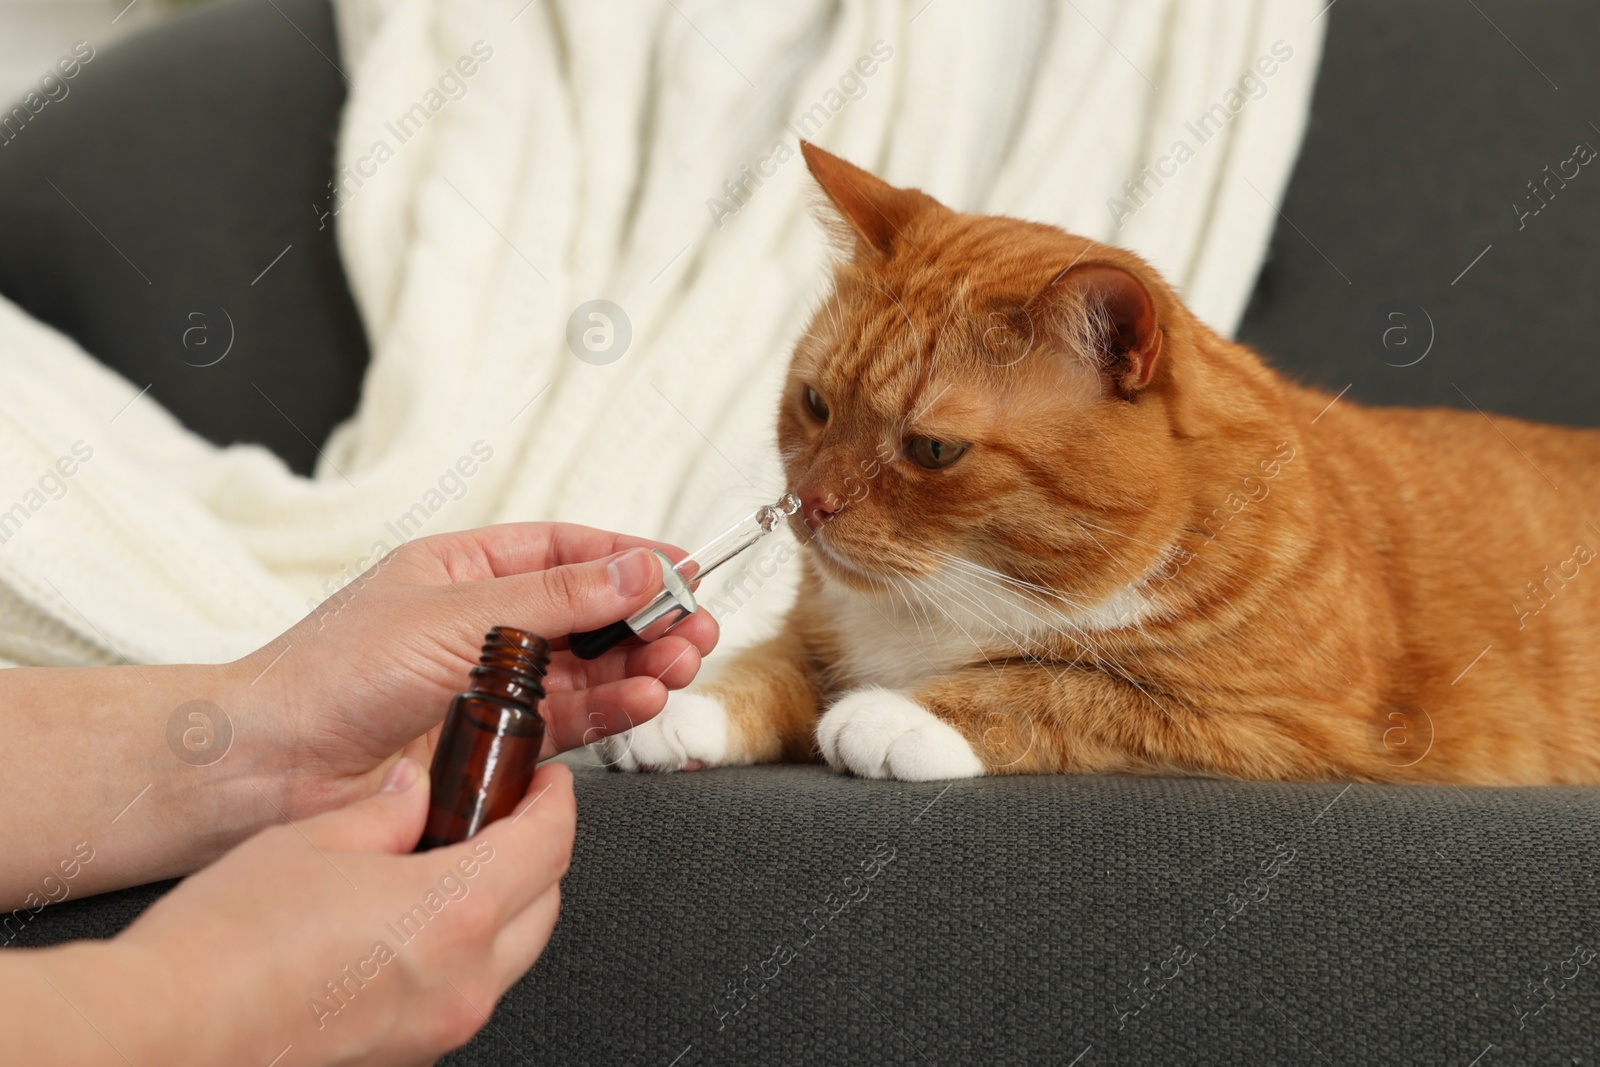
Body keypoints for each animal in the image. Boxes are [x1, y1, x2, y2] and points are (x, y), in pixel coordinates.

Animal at [598, 143, 1600, 783]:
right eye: (816, 404)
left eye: (932, 449)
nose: (809, 503)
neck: (952, 598)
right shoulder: (820, 632)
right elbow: (768, 666)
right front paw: (677, 711)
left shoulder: (1277, 721)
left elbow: (1059, 686)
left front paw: (900, 712)